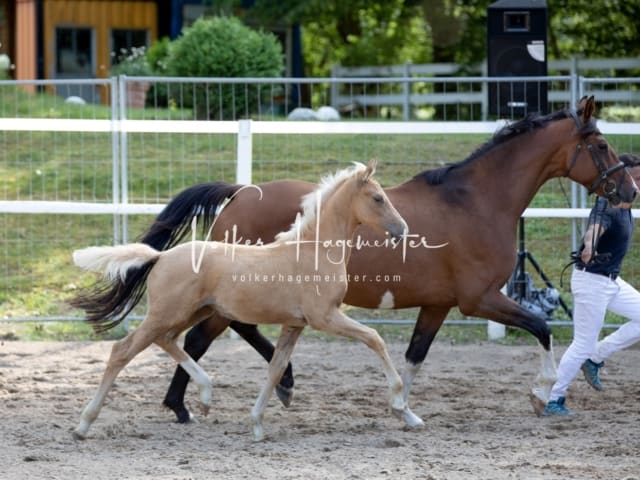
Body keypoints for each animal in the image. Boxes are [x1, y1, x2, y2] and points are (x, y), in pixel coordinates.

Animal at [70, 159, 410, 440]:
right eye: (378, 198)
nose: (403, 230)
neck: (313, 252)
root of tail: (161, 257)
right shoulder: (324, 317)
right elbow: (375, 338)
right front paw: (400, 405)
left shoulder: (294, 324)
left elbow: (276, 368)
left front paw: (257, 423)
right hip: (167, 314)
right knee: (122, 351)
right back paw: (84, 424)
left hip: (191, 312)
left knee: (168, 341)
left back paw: (205, 395)